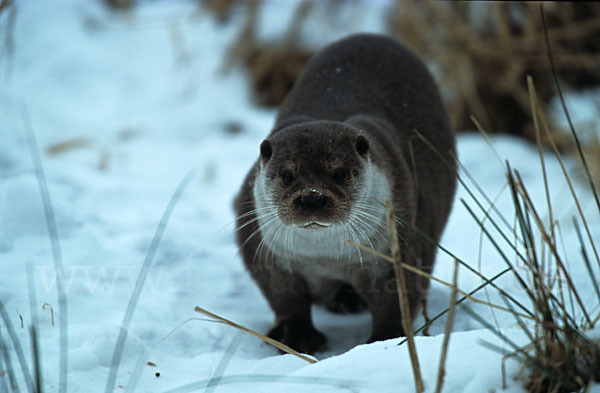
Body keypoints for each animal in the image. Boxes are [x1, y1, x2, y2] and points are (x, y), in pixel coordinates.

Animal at [233, 33, 454, 352]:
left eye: (339, 173)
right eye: (288, 175)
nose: (312, 197)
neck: (325, 259)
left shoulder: (401, 243)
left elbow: (398, 298)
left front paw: (385, 340)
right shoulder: (260, 245)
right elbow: (285, 298)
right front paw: (295, 336)